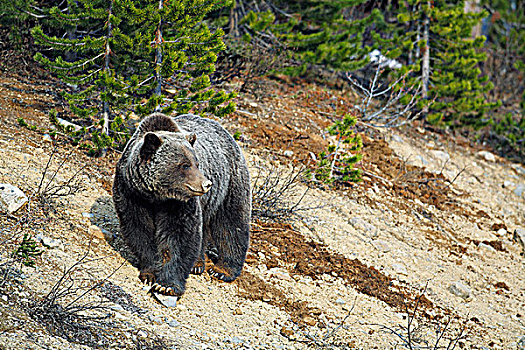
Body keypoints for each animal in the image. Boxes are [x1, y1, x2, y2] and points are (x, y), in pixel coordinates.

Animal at [114, 112, 252, 296]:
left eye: (197, 163)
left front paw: (166, 285)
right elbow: (140, 230)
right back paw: (198, 264)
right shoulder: (131, 193)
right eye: (184, 165)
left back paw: (222, 270)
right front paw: (150, 273)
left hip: (230, 183)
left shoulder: (179, 204)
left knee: (231, 224)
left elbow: (181, 235)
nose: (206, 184)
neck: (155, 195)